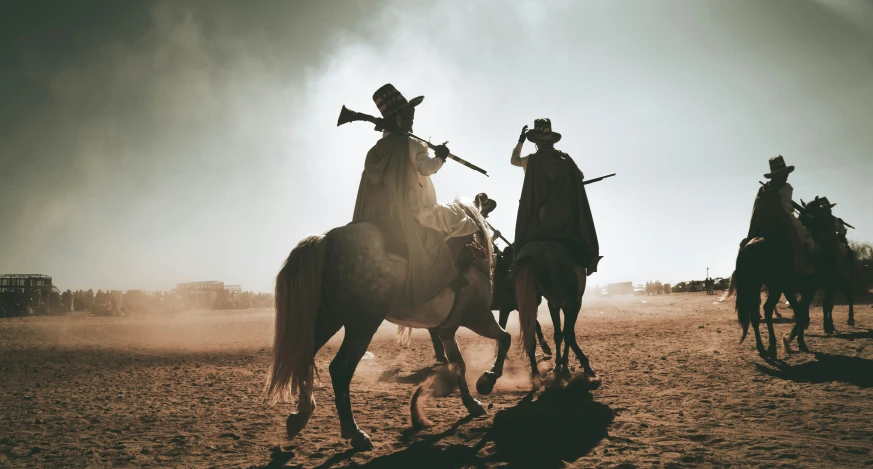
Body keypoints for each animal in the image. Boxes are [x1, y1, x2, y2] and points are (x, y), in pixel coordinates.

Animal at [266, 201, 510, 450]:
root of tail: (327, 240)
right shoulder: (479, 317)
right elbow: (505, 339)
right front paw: (487, 380)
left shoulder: (446, 330)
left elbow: (459, 364)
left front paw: (472, 403)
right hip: (362, 326)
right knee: (340, 369)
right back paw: (354, 432)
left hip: (327, 320)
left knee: (305, 356)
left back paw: (301, 414)